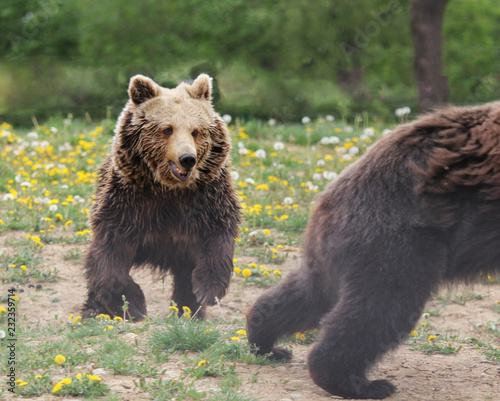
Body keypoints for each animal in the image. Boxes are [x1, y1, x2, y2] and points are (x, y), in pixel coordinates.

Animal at [81, 73, 240, 320]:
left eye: (196, 131)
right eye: (167, 129)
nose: (187, 158)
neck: (168, 190)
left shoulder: (206, 199)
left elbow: (217, 236)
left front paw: (205, 290)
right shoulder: (128, 202)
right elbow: (109, 251)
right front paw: (133, 304)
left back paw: (188, 310)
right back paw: (92, 309)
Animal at [245, 101, 500, 396]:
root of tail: (327, 199)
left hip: (341, 252)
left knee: (310, 294)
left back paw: (265, 341)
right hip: (399, 243)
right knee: (381, 306)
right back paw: (361, 383)